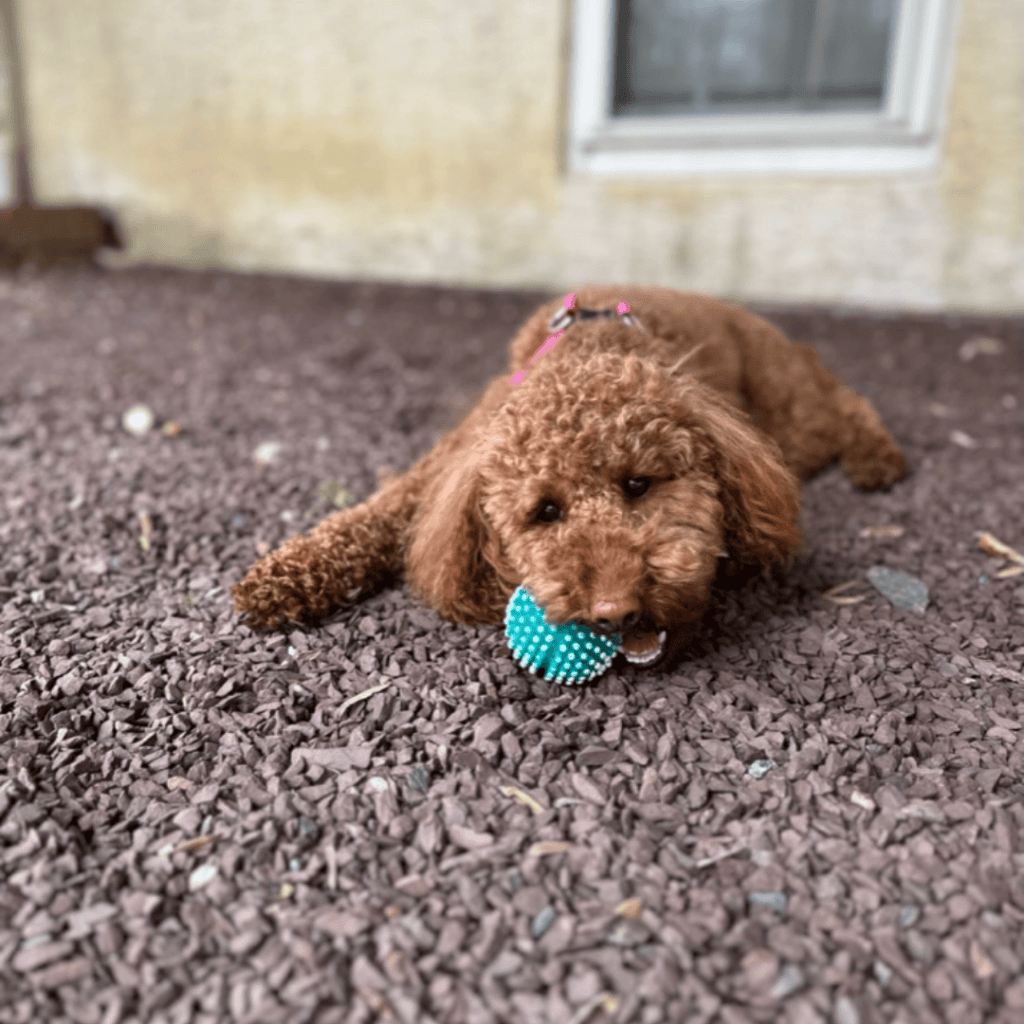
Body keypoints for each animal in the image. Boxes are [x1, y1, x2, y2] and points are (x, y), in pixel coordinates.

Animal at [235, 286, 909, 671]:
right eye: (546, 511)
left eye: (638, 484)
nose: (615, 613)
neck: (586, 347)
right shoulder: (449, 462)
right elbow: (376, 512)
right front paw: (282, 577)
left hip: (790, 412)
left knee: (847, 405)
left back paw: (878, 459)